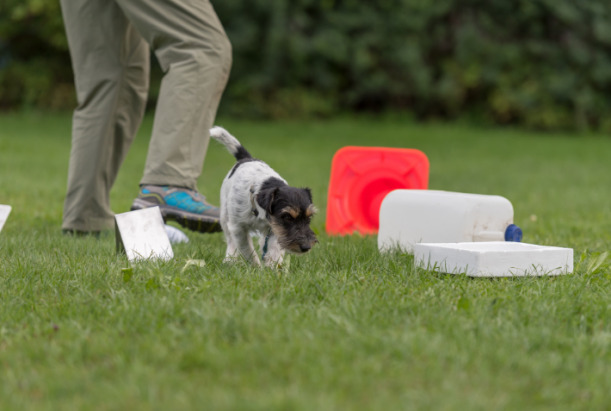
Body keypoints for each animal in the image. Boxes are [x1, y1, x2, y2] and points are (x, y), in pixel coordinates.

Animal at [209, 127, 318, 268]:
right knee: (231, 241)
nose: (306, 247)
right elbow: (246, 248)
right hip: (224, 216)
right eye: (287, 217)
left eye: (309, 217)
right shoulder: (238, 227)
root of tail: (248, 158)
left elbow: (274, 248)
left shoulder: (274, 228)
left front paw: (272, 266)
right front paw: (256, 266)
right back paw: (229, 260)